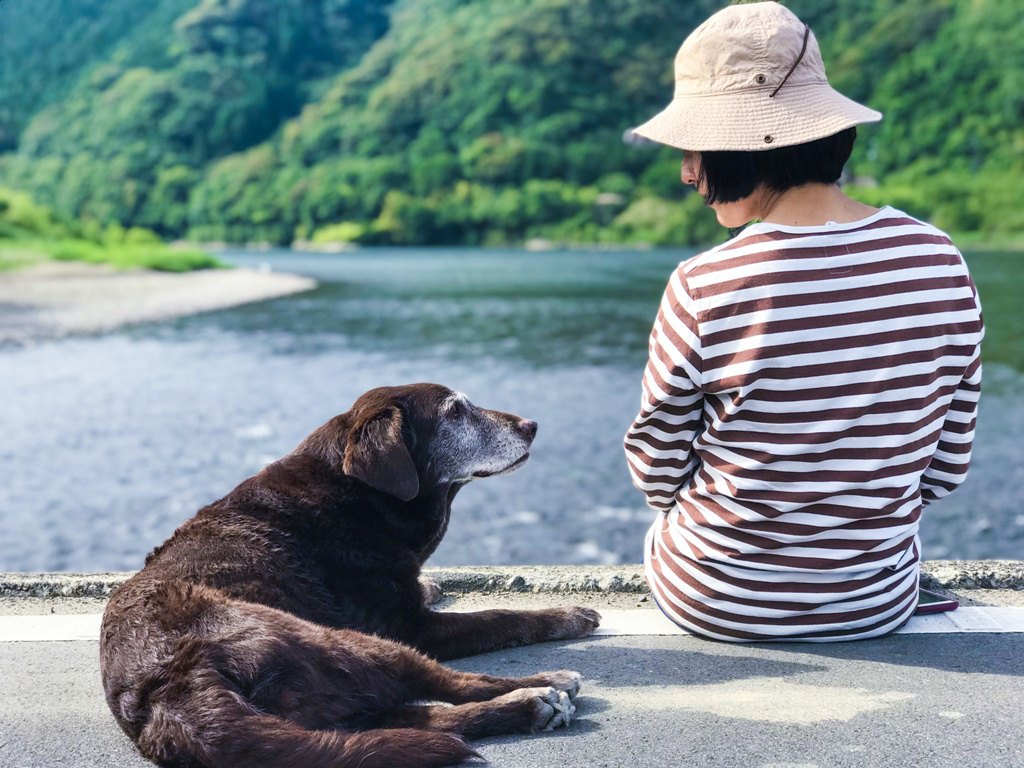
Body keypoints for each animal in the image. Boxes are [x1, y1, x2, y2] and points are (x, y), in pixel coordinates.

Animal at [98, 385, 598, 768]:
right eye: (456, 410)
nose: (532, 424)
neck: (356, 492)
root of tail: (171, 694)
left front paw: (433, 585)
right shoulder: (409, 627)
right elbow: (502, 617)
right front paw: (568, 615)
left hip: (334, 709)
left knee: (425, 720)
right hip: (358, 643)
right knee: (456, 686)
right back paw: (541, 690)